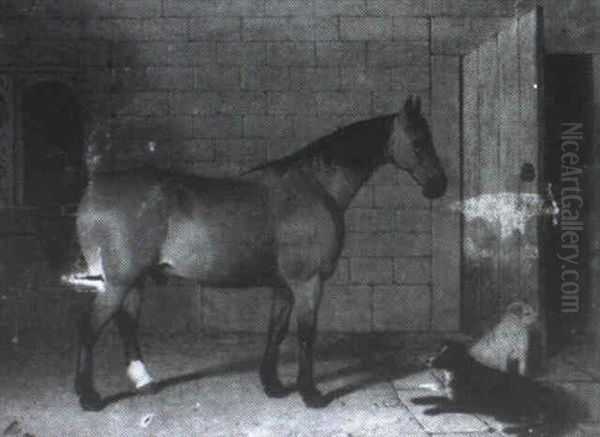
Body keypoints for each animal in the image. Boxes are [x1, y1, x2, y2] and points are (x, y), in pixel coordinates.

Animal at [69, 93, 446, 410]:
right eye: (419, 141)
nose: (438, 186)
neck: (316, 186)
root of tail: (95, 184)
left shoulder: (284, 286)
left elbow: (276, 331)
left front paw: (273, 385)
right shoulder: (308, 282)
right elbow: (306, 335)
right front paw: (310, 394)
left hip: (133, 280)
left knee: (127, 324)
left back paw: (144, 382)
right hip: (118, 282)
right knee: (89, 329)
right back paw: (89, 397)